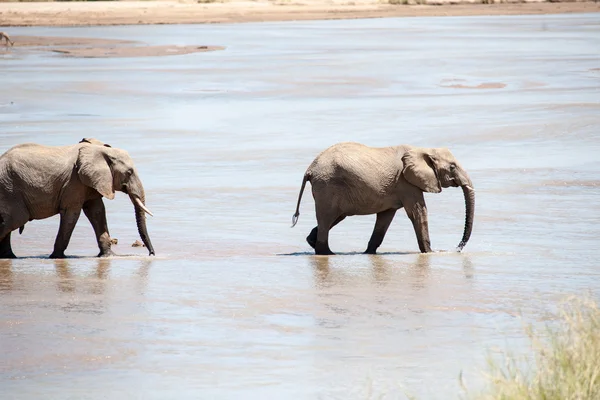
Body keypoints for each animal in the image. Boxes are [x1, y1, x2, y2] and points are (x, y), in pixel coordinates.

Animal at [0, 138, 155, 260]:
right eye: (129, 172)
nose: (151, 254)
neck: (100, 150)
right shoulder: (73, 182)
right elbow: (72, 213)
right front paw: (57, 257)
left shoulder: (88, 183)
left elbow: (97, 211)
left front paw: (108, 256)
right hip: (10, 190)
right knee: (13, 221)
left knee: (8, 224)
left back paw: (9, 257)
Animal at [290, 142, 474, 255]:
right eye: (452, 167)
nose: (456, 248)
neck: (422, 149)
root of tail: (310, 169)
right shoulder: (405, 183)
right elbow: (418, 212)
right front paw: (429, 253)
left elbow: (385, 218)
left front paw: (369, 253)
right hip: (327, 186)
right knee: (327, 218)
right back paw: (327, 253)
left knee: (332, 218)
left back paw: (314, 243)